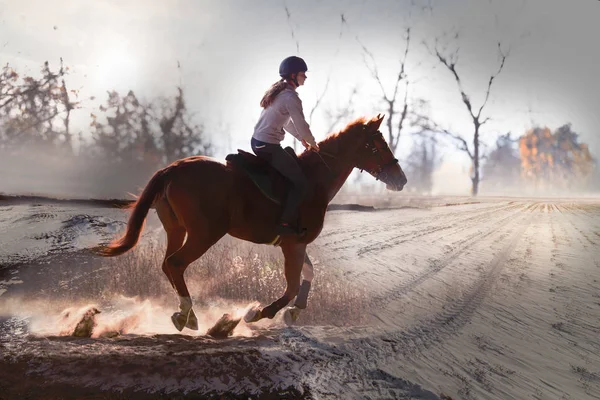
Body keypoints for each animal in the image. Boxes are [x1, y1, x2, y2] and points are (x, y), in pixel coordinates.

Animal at [96, 113, 408, 332]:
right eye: (377, 145)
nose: (401, 180)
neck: (315, 180)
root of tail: (172, 169)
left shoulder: (296, 244)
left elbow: (309, 275)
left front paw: (295, 311)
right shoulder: (293, 245)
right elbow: (292, 286)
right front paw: (258, 313)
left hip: (177, 230)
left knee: (168, 265)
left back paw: (188, 315)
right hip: (204, 234)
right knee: (176, 263)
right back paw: (186, 313)